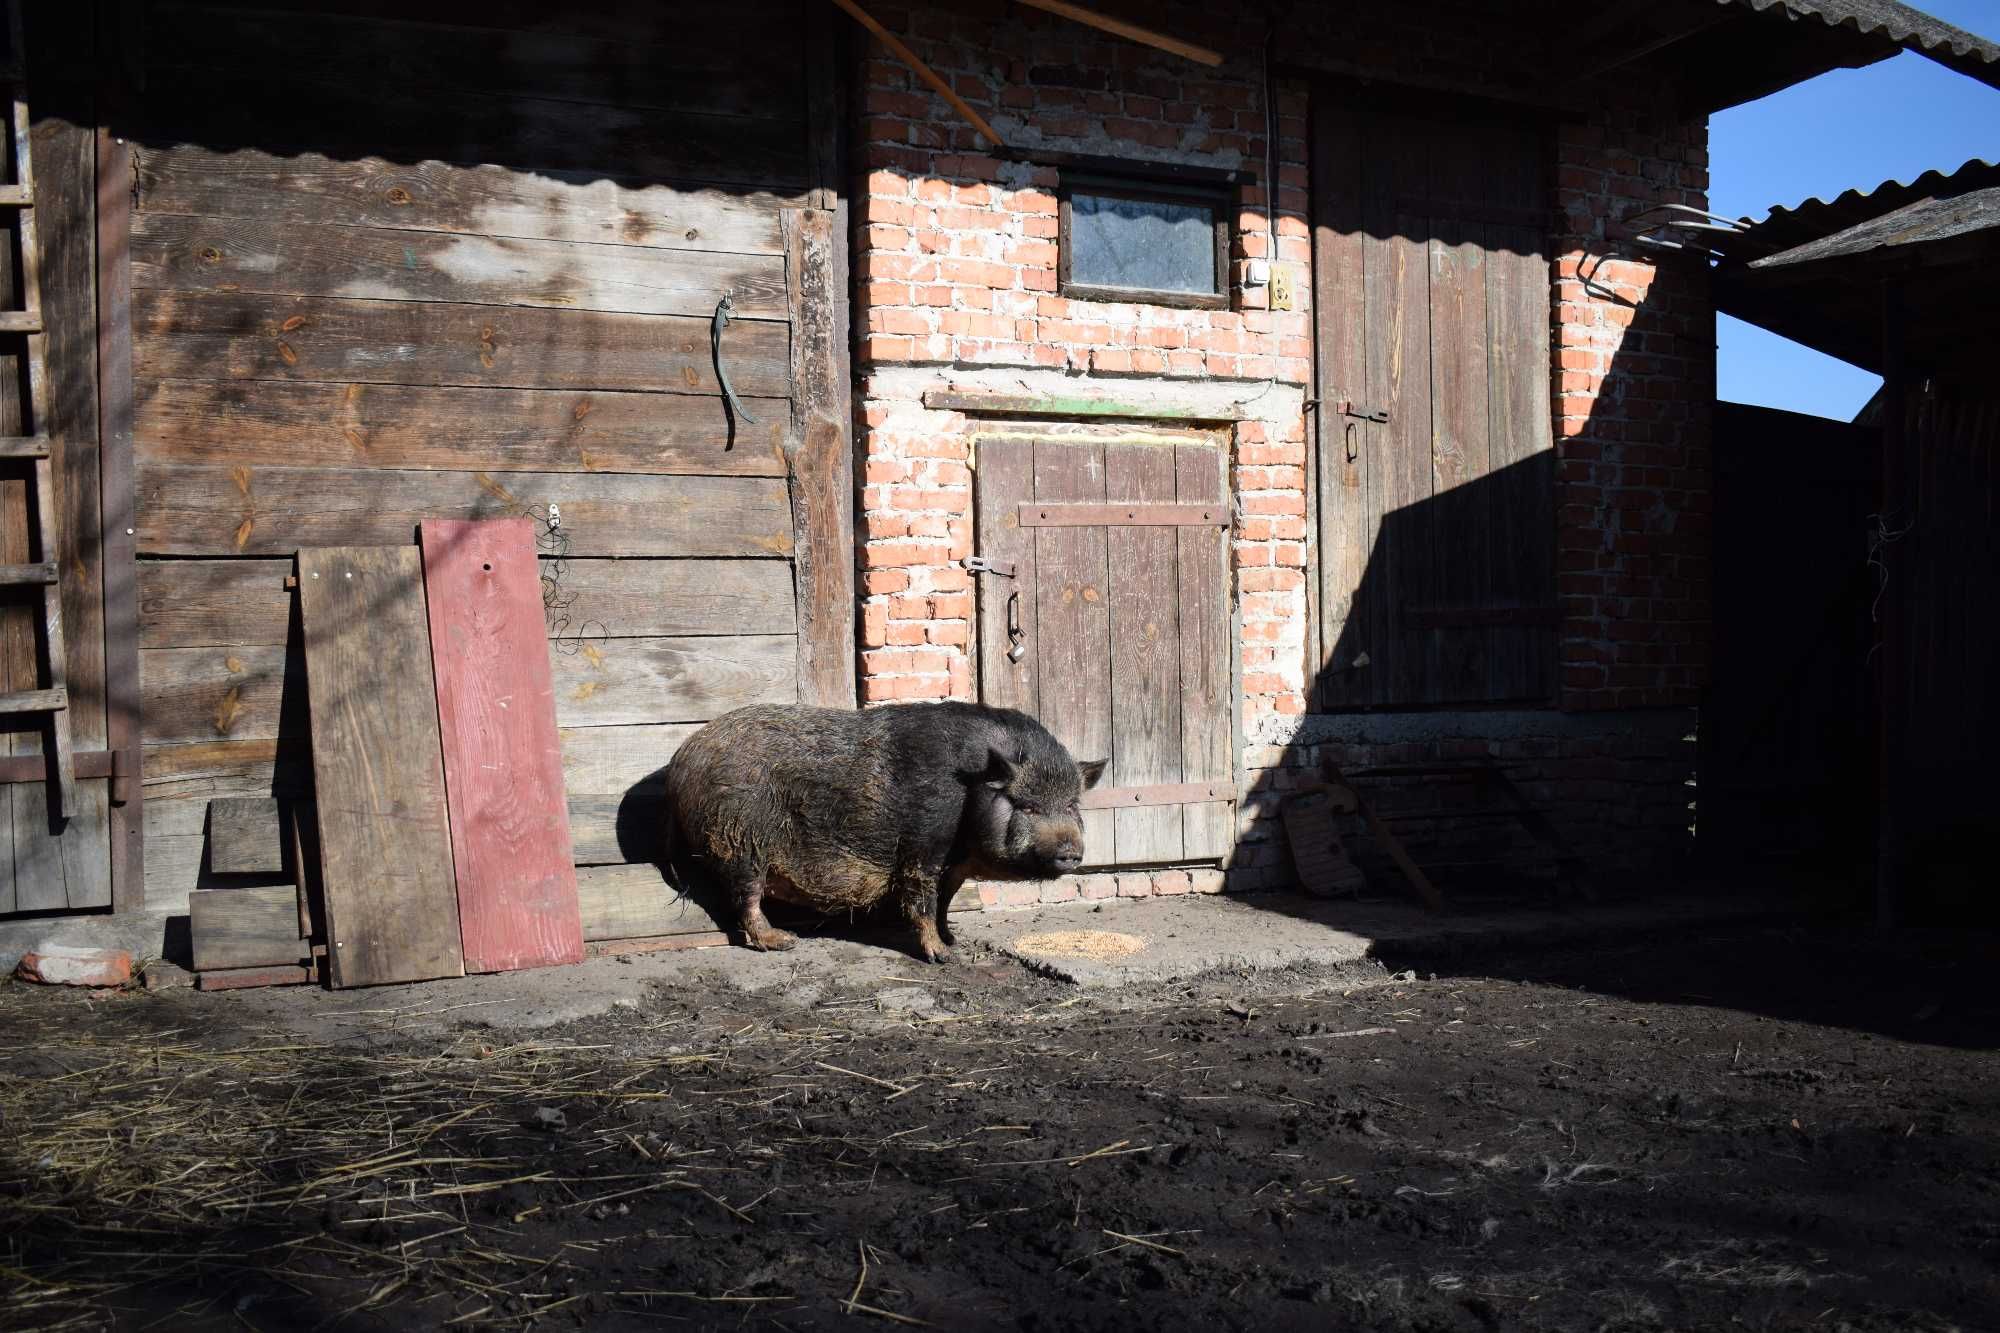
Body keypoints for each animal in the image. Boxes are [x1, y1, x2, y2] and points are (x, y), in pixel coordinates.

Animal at [660, 700, 1112, 960]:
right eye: (1027, 805)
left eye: (1071, 805)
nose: (1070, 852)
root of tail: (681, 760)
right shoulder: (923, 844)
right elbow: (922, 899)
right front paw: (942, 956)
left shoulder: (953, 865)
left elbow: (945, 901)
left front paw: (953, 941)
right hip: (740, 840)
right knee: (746, 898)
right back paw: (783, 942)